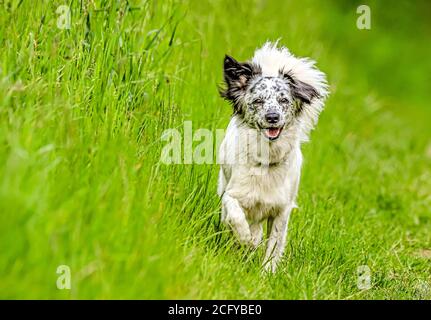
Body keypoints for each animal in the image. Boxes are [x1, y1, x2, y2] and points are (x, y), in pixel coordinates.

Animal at [218, 42, 330, 272]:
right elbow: (235, 215)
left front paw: (266, 273)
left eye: (283, 100)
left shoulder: (281, 210)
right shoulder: (232, 194)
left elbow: (273, 245)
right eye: (258, 101)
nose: (272, 117)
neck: (267, 161)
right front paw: (246, 239)